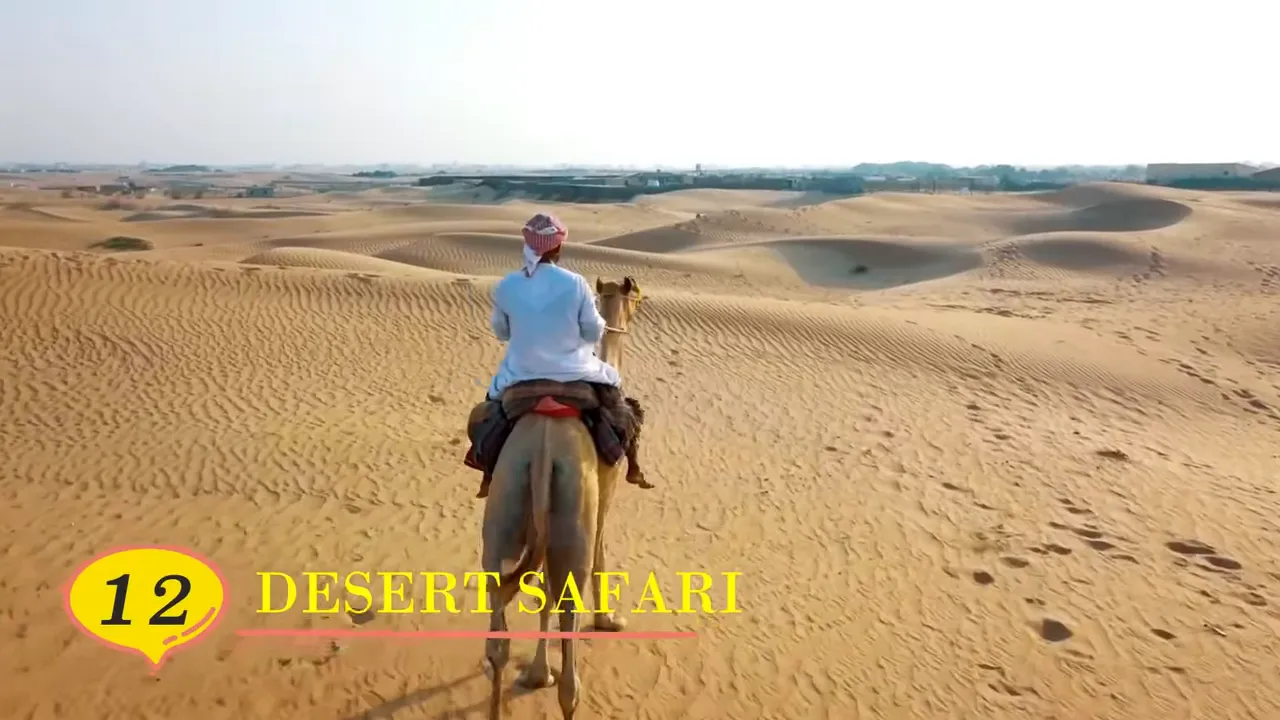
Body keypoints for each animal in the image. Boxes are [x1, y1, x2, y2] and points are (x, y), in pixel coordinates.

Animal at [480, 277, 644, 720]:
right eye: (637, 298)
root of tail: (543, 449)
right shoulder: (603, 494)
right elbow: (600, 556)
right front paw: (607, 619)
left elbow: (542, 593)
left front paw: (538, 672)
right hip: (574, 508)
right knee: (571, 665)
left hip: (506, 501)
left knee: (497, 631)